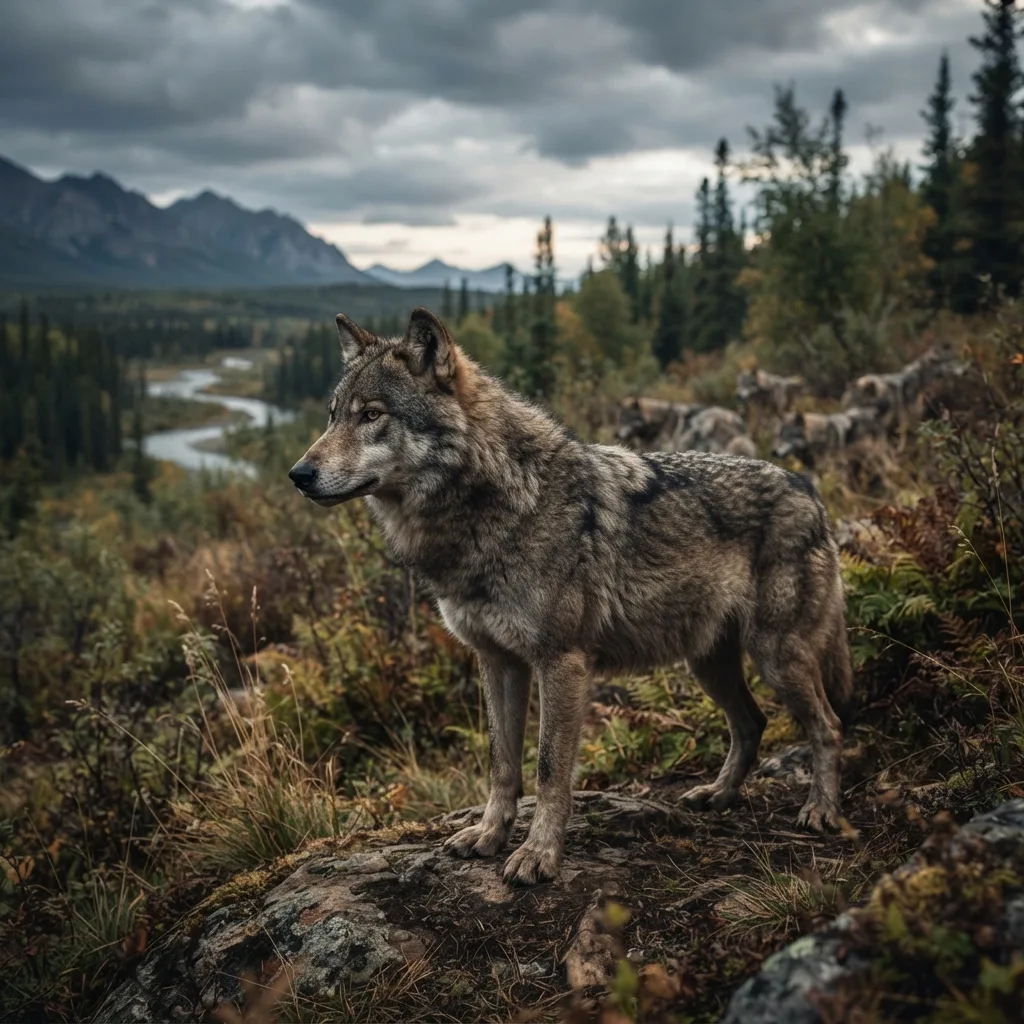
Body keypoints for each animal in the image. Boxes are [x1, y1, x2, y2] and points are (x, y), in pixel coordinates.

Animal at [289, 309, 854, 886]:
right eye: (332, 416)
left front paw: (538, 855)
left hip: (776, 657)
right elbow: (501, 764)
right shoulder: (497, 661)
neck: (497, 506)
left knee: (828, 726)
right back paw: (718, 794)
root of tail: (809, 489)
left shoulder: (561, 663)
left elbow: (548, 770)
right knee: (751, 723)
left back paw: (821, 809)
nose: (299, 474)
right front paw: (489, 836)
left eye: (371, 415)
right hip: (708, 666)